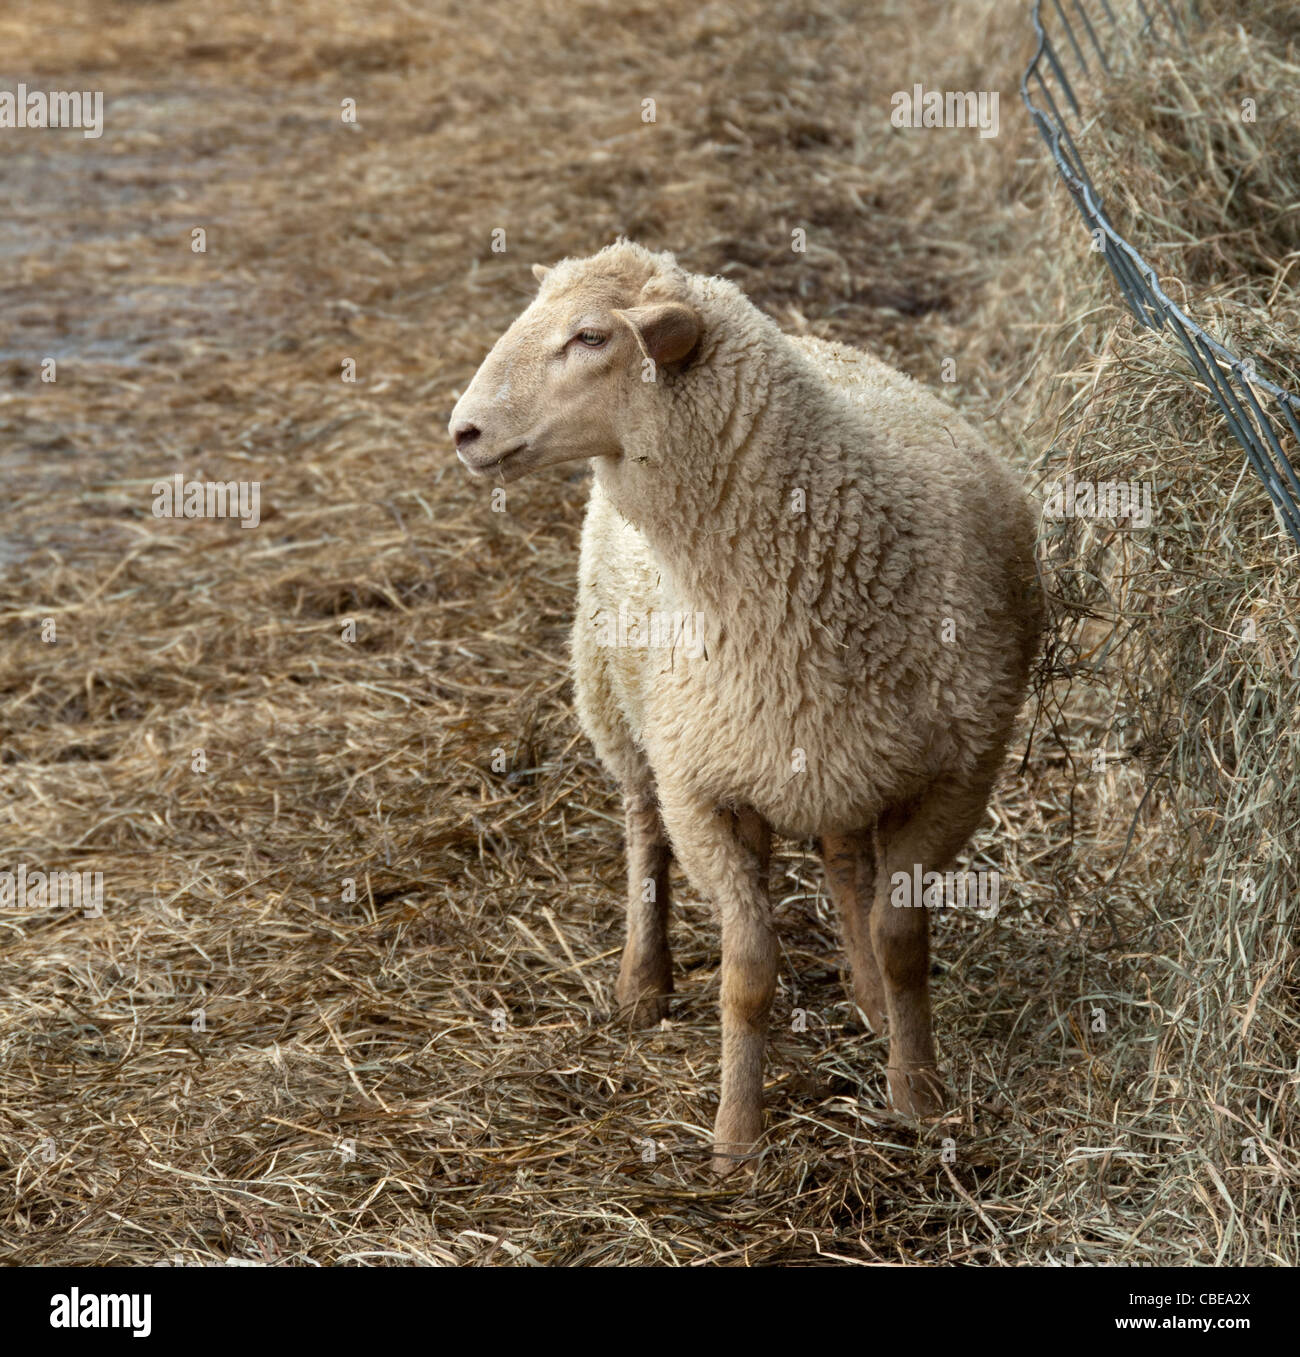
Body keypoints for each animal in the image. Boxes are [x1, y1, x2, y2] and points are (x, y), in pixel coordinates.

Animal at [453, 238, 1042, 1172]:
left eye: (591, 336)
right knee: (643, 831)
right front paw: (736, 1138)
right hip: (619, 707)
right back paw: (642, 983)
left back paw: (865, 997)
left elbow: (901, 940)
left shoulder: (956, 776)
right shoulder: (704, 793)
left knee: (843, 863)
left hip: (829, 757)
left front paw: (919, 1093)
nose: (464, 431)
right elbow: (749, 969)